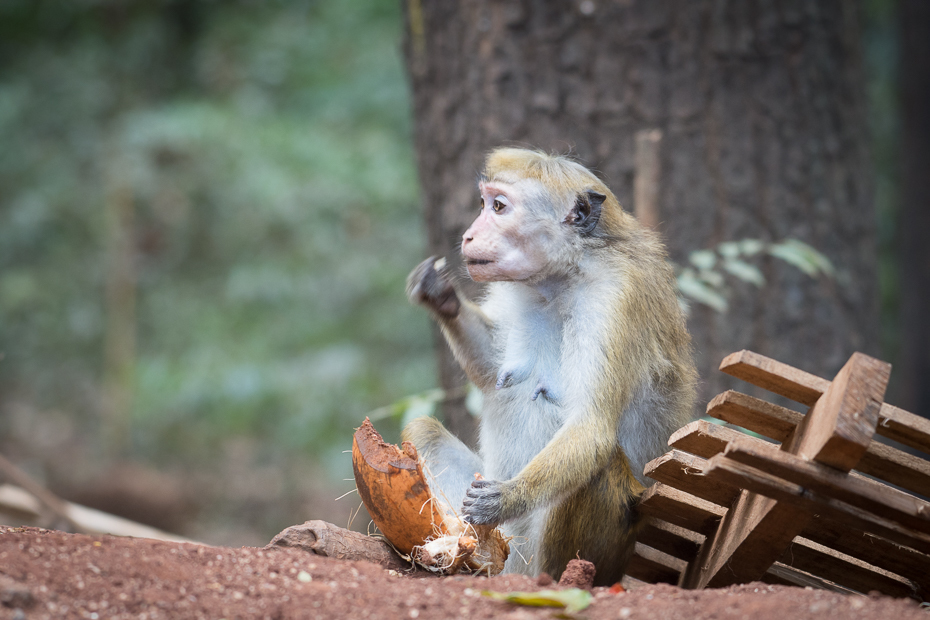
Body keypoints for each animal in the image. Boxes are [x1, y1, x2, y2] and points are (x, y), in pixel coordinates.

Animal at [402, 148, 692, 584]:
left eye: (499, 207)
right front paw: (440, 295)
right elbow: (491, 372)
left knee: (599, 466)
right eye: (484, 203)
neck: (562, 277)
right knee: (423, 432)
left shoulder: (615, 301)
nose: (469, 235)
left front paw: (509, 497)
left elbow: (590, 427)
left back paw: (556, 579)